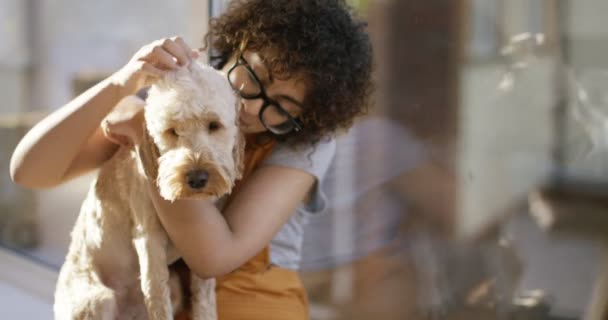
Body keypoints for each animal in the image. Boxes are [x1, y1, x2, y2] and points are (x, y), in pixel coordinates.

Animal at [54, 62, 243, 320]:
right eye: (172, 131)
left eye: (214, 125)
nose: (197, 178)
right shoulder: (149, 238)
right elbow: (157, 297)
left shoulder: (203, 255)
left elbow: (204, 300)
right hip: (98, 300)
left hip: (174, 288)